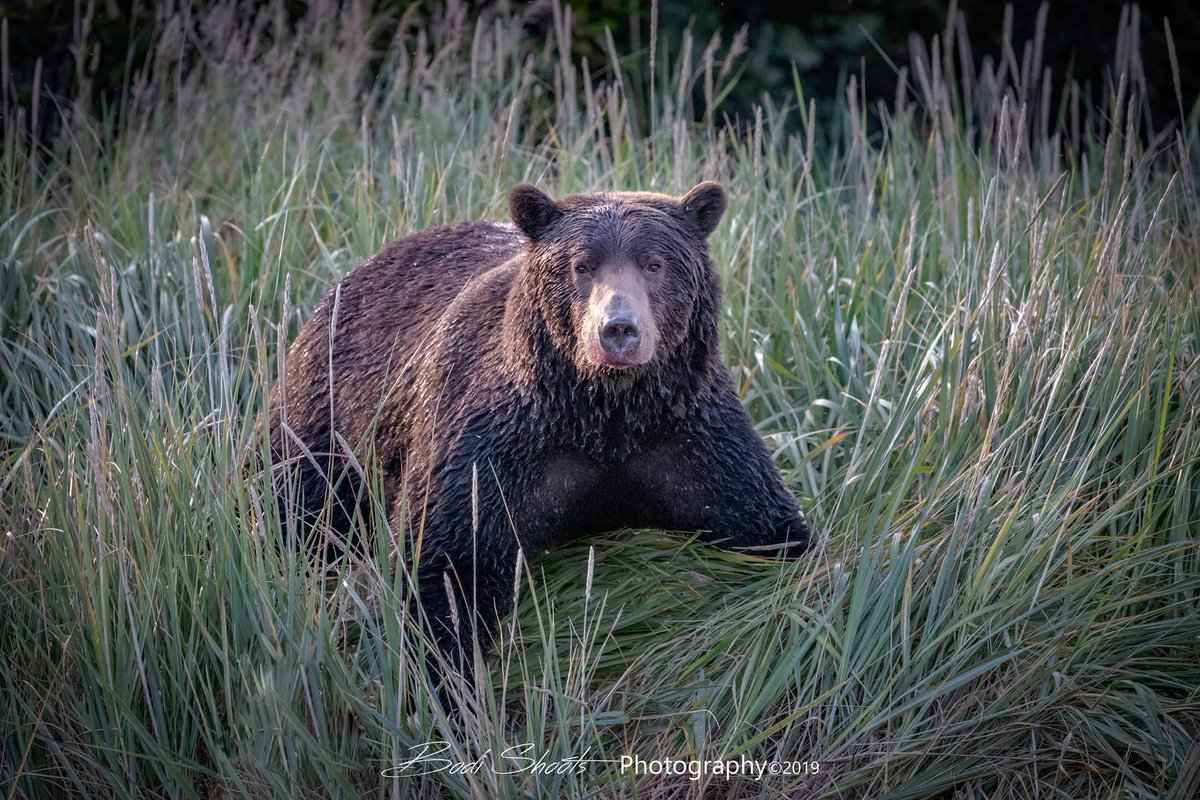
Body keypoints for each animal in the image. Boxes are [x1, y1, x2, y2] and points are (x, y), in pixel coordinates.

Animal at [267, 182, 812, 685]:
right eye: (582, 265)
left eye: (655, 264)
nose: (619, 330)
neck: (601, 413)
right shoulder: (493, 446)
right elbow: (445, 566)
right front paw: (446, 679)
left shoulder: (688, 435)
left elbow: (769, 526)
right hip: (330, 405)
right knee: (296, 497)